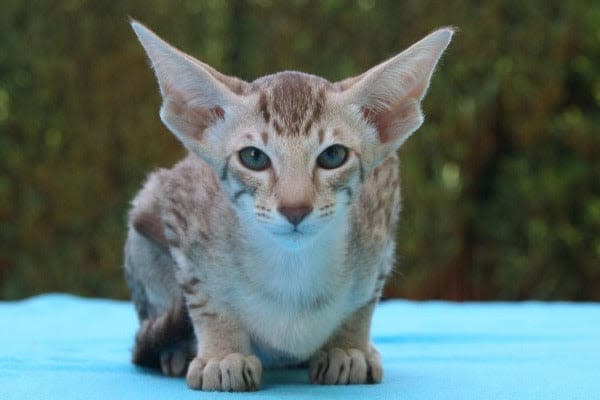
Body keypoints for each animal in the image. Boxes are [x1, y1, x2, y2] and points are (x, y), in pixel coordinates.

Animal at [124, 20, 452, 392]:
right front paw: (224, 353)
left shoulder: (383, 205)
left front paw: (348, 347)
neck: (291, 269)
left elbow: (364, 302)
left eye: (333, 155)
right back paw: (175, 350)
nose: (295, 208)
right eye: (253, 157)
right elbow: (204, 297)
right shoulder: (181, 201)